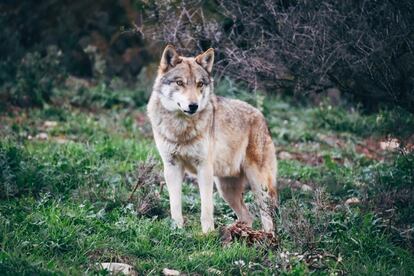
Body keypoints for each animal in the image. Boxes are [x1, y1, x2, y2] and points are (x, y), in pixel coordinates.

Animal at [146, 45, 278, 233]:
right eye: (180, 83)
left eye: (200, 84)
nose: (193, 106)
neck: (181, 128)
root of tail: (262, 117)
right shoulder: (172, 167)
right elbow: (175, 205)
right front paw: (177, 230)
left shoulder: (204, 168)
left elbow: (207, 208)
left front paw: (208, 233)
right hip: (226, 189)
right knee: (248, 216)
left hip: (257, 183)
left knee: (266, 215)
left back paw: (267, 236)